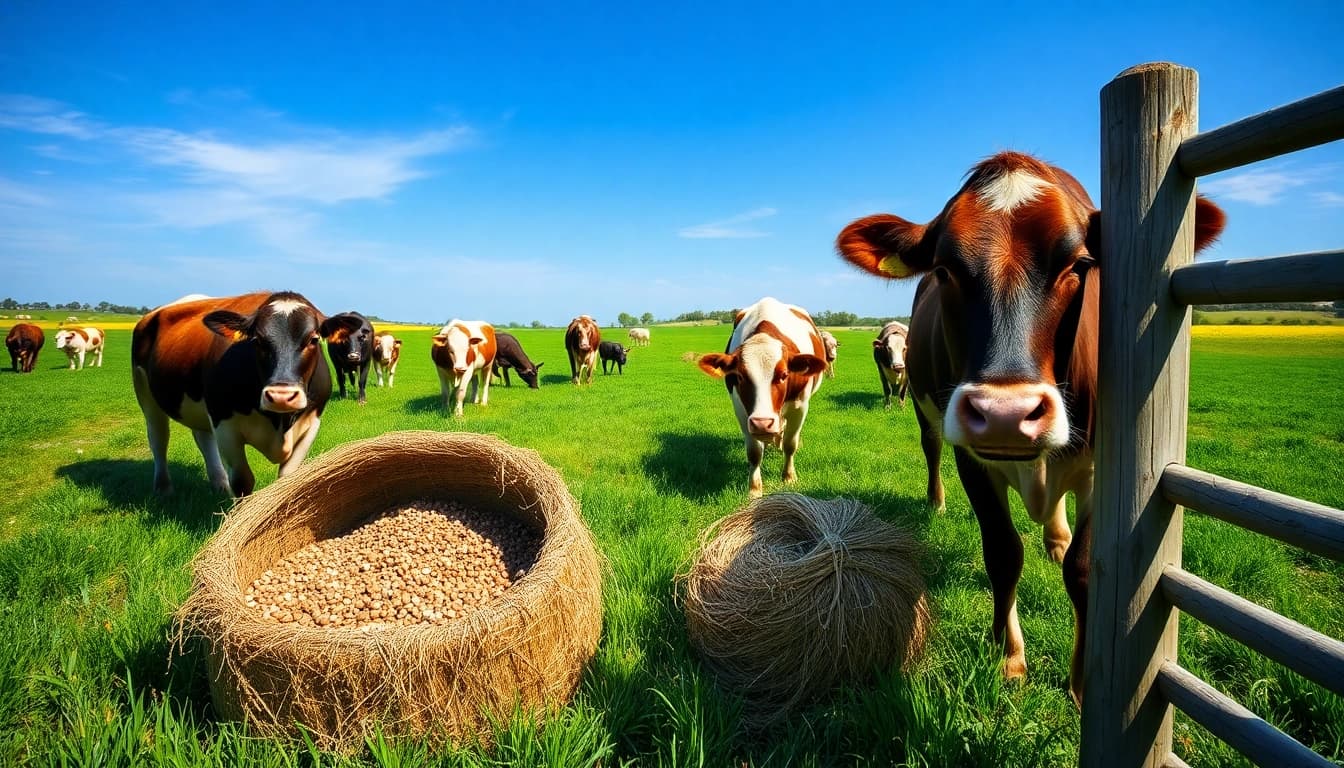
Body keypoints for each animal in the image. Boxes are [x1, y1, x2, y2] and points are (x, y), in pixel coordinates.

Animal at [131, 291, 336, 497]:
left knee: (203, 437)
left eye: (314, 339)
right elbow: (242, 481)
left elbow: (287, 477)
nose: (281, 397)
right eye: (257, 340)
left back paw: (220, 485)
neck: (279, 423)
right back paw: (164, 488)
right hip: (145, 392)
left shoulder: (312, 422)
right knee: (158, 438)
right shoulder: (224, 422)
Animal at [697, 297, 829, 498]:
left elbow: (790, 443)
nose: (762, 423)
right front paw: (754, 488)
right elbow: (754, 452)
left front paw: (788, 476)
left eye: (784, 375)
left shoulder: (800, 406)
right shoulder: (741, 409)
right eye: (740, 376)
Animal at [836, 151, 1225, 705]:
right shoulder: (972, 459)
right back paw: (937, 500)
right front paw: (1010, 655)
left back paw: (1056, 537)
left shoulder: (1100, 466)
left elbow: (1082, 569)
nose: (1005, 414)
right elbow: (1002, 552)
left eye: (1079, 264)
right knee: (931, 448)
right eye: (943, 268)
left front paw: (1081, 680)